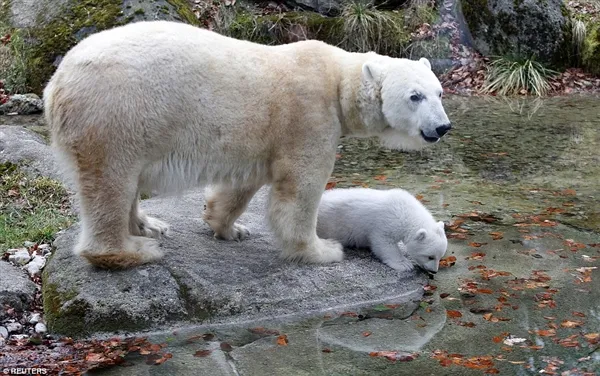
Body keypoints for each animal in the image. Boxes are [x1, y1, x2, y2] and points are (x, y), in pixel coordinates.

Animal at [44, 20, 452, 268]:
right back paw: (135, 249)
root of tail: (55, 84)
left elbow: (240, 185)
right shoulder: (308, 117)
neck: (338, 80)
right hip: (115, 113)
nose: (443, 126)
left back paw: (149, 225)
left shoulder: (260, 137)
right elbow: (300, 191)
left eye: (439, 92)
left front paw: (231, 228)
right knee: (110, 182)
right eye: (415, 96)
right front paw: (323, 250)